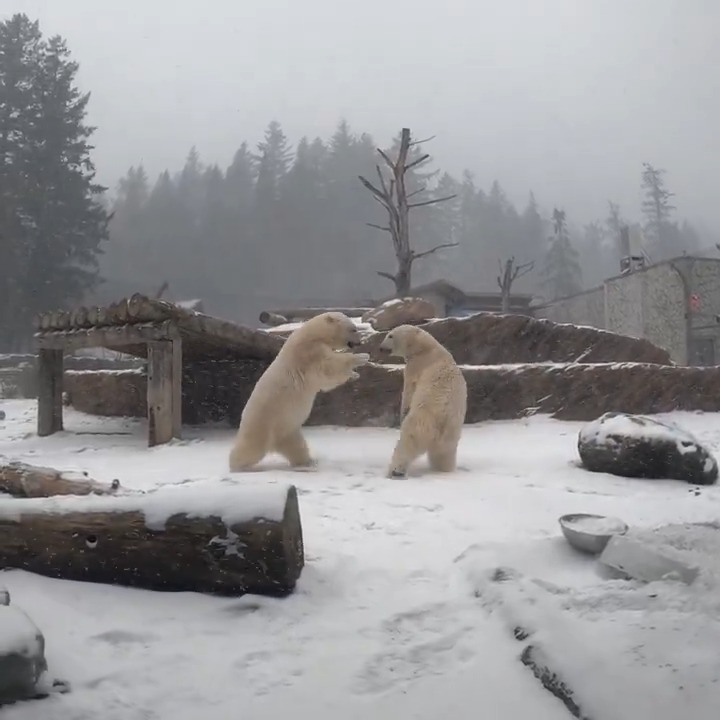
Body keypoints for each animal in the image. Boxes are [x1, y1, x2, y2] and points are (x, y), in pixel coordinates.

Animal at [228, 312, 370, 472]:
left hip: (287, 428)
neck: (313, 334)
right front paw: (362, 357)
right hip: (262, 422)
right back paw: (237, 465)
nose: (360, 342)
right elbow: (328, 366)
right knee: (250, 448)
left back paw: (309, 462)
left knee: (296, 447)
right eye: (353, 329)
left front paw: (354, 375)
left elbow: (328, 381)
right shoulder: (309, 352)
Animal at [378, 324, 467, 478]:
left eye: (390, 335)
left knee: (407, 442)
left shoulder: (417, 366)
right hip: (452, 434)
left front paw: (403, 412)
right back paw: (444, 470)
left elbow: (409, 390)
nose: (381, 348)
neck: (426, 347)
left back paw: (396, 471)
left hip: (421, 422)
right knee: (444, 455)